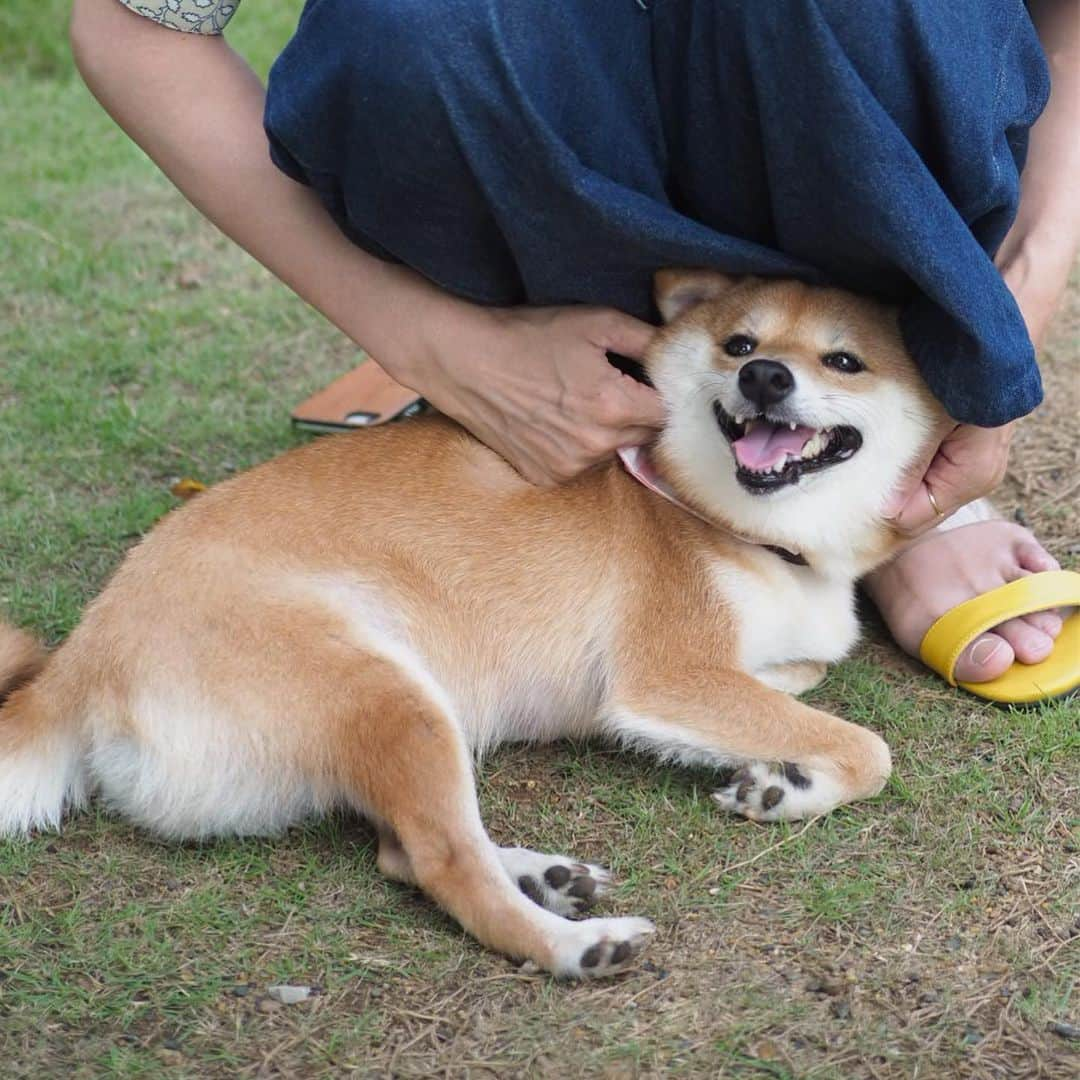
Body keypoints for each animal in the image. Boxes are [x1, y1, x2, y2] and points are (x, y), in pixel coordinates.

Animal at [0, 272, 946, 980]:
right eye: (740, 345)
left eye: (845, 360)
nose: (766, 379)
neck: (738, 523)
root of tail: (80, 660)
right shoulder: (666, 675)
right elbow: (867, 747)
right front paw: (798, 783)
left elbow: (800, 686)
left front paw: (777, 774)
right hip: (394, 695)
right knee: (441, 861)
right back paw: (574, 944)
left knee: (403, 850)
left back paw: (548, 876)